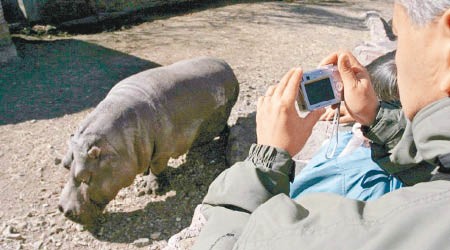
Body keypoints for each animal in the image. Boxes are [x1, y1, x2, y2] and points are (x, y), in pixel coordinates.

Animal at [59, 57, 239, 225]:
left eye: (85, 176)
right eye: (65, 164)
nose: (62, 209)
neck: (116, 145)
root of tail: (225, 64)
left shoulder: (163, 150)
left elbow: (157, 167)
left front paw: (149, 190)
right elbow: (148, 163)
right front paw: (144, 175)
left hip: (225, 112)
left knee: (224, 126)